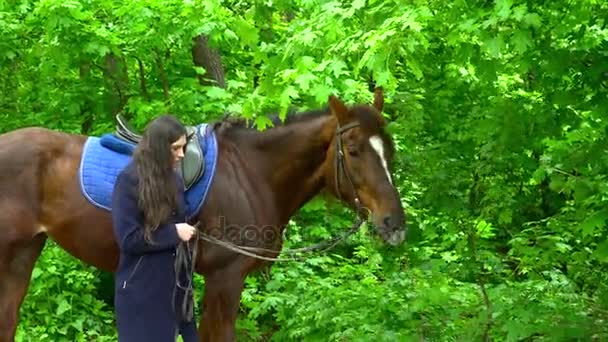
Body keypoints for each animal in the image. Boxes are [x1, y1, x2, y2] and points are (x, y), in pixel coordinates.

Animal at [1, 89, 408, 340]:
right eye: (353, 150)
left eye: (389, 149)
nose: (394, 223)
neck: (251, 173)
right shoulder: (225, 279)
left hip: (23, 254)